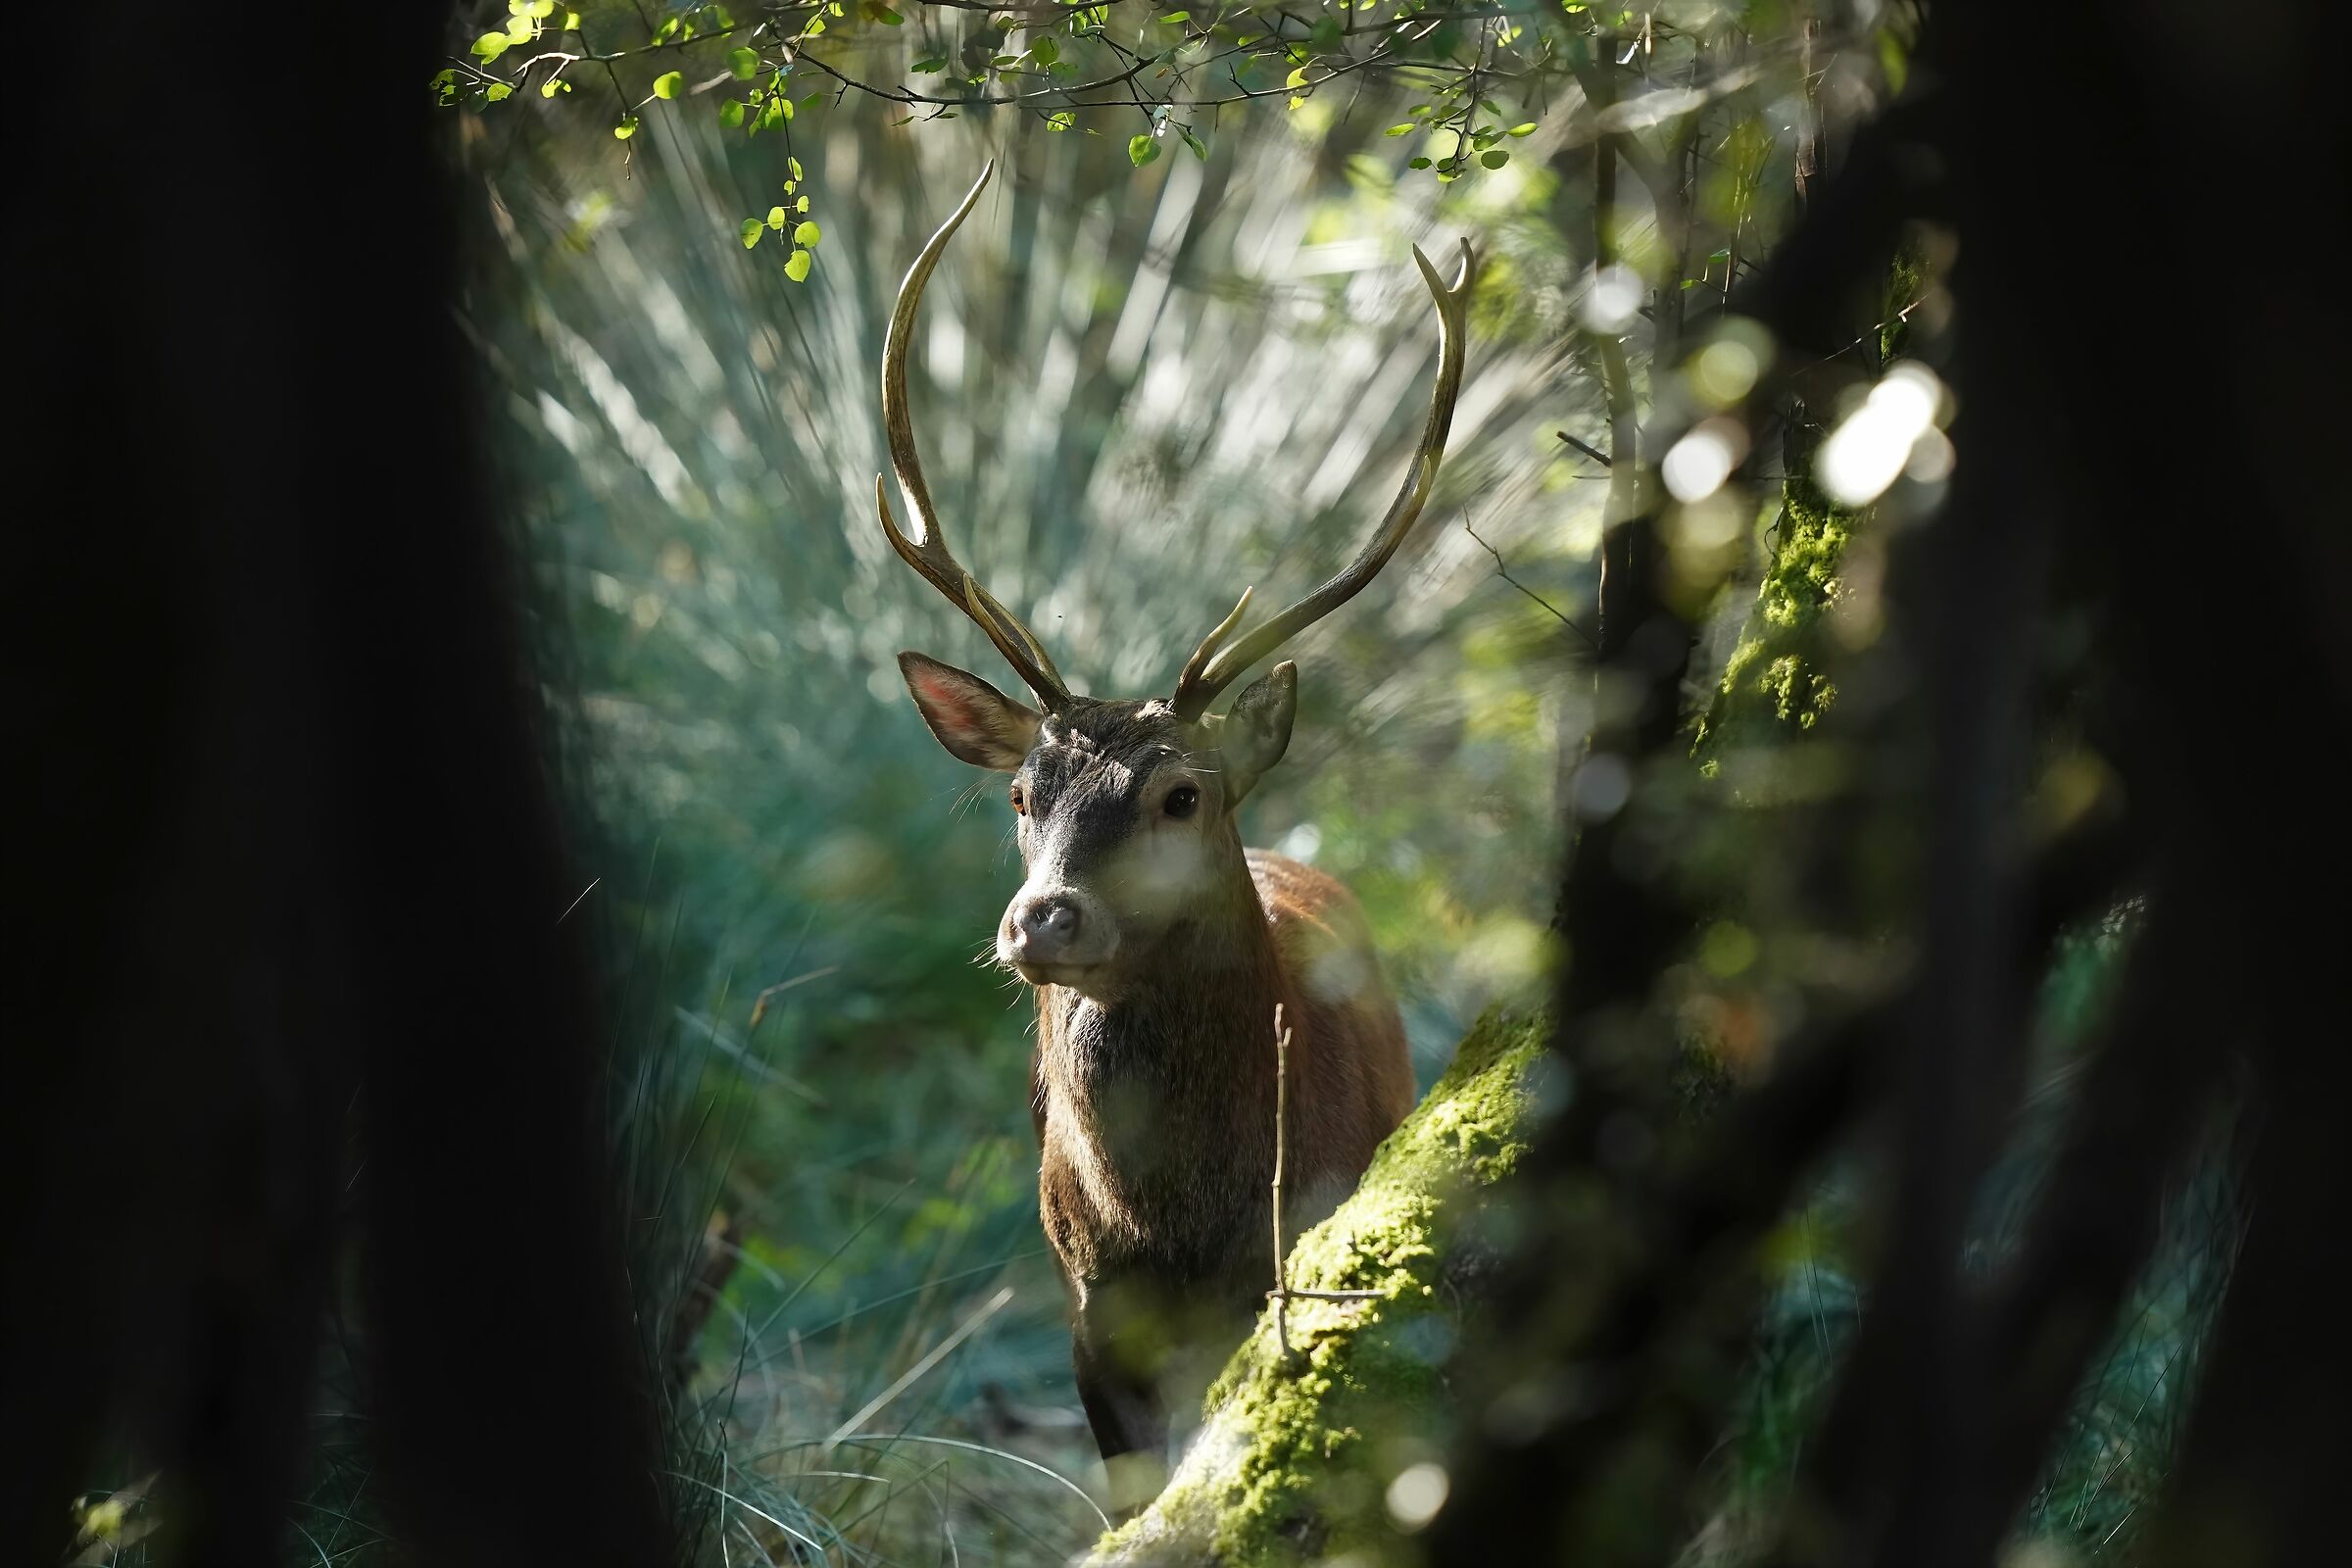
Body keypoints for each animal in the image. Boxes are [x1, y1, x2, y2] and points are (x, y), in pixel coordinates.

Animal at [872, 162, 1473, 1508]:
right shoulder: (1089, 1314)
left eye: (1181, 794)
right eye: (1022, 792)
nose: (1042, 917)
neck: (1181, 1230)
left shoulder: (1296, 1259)